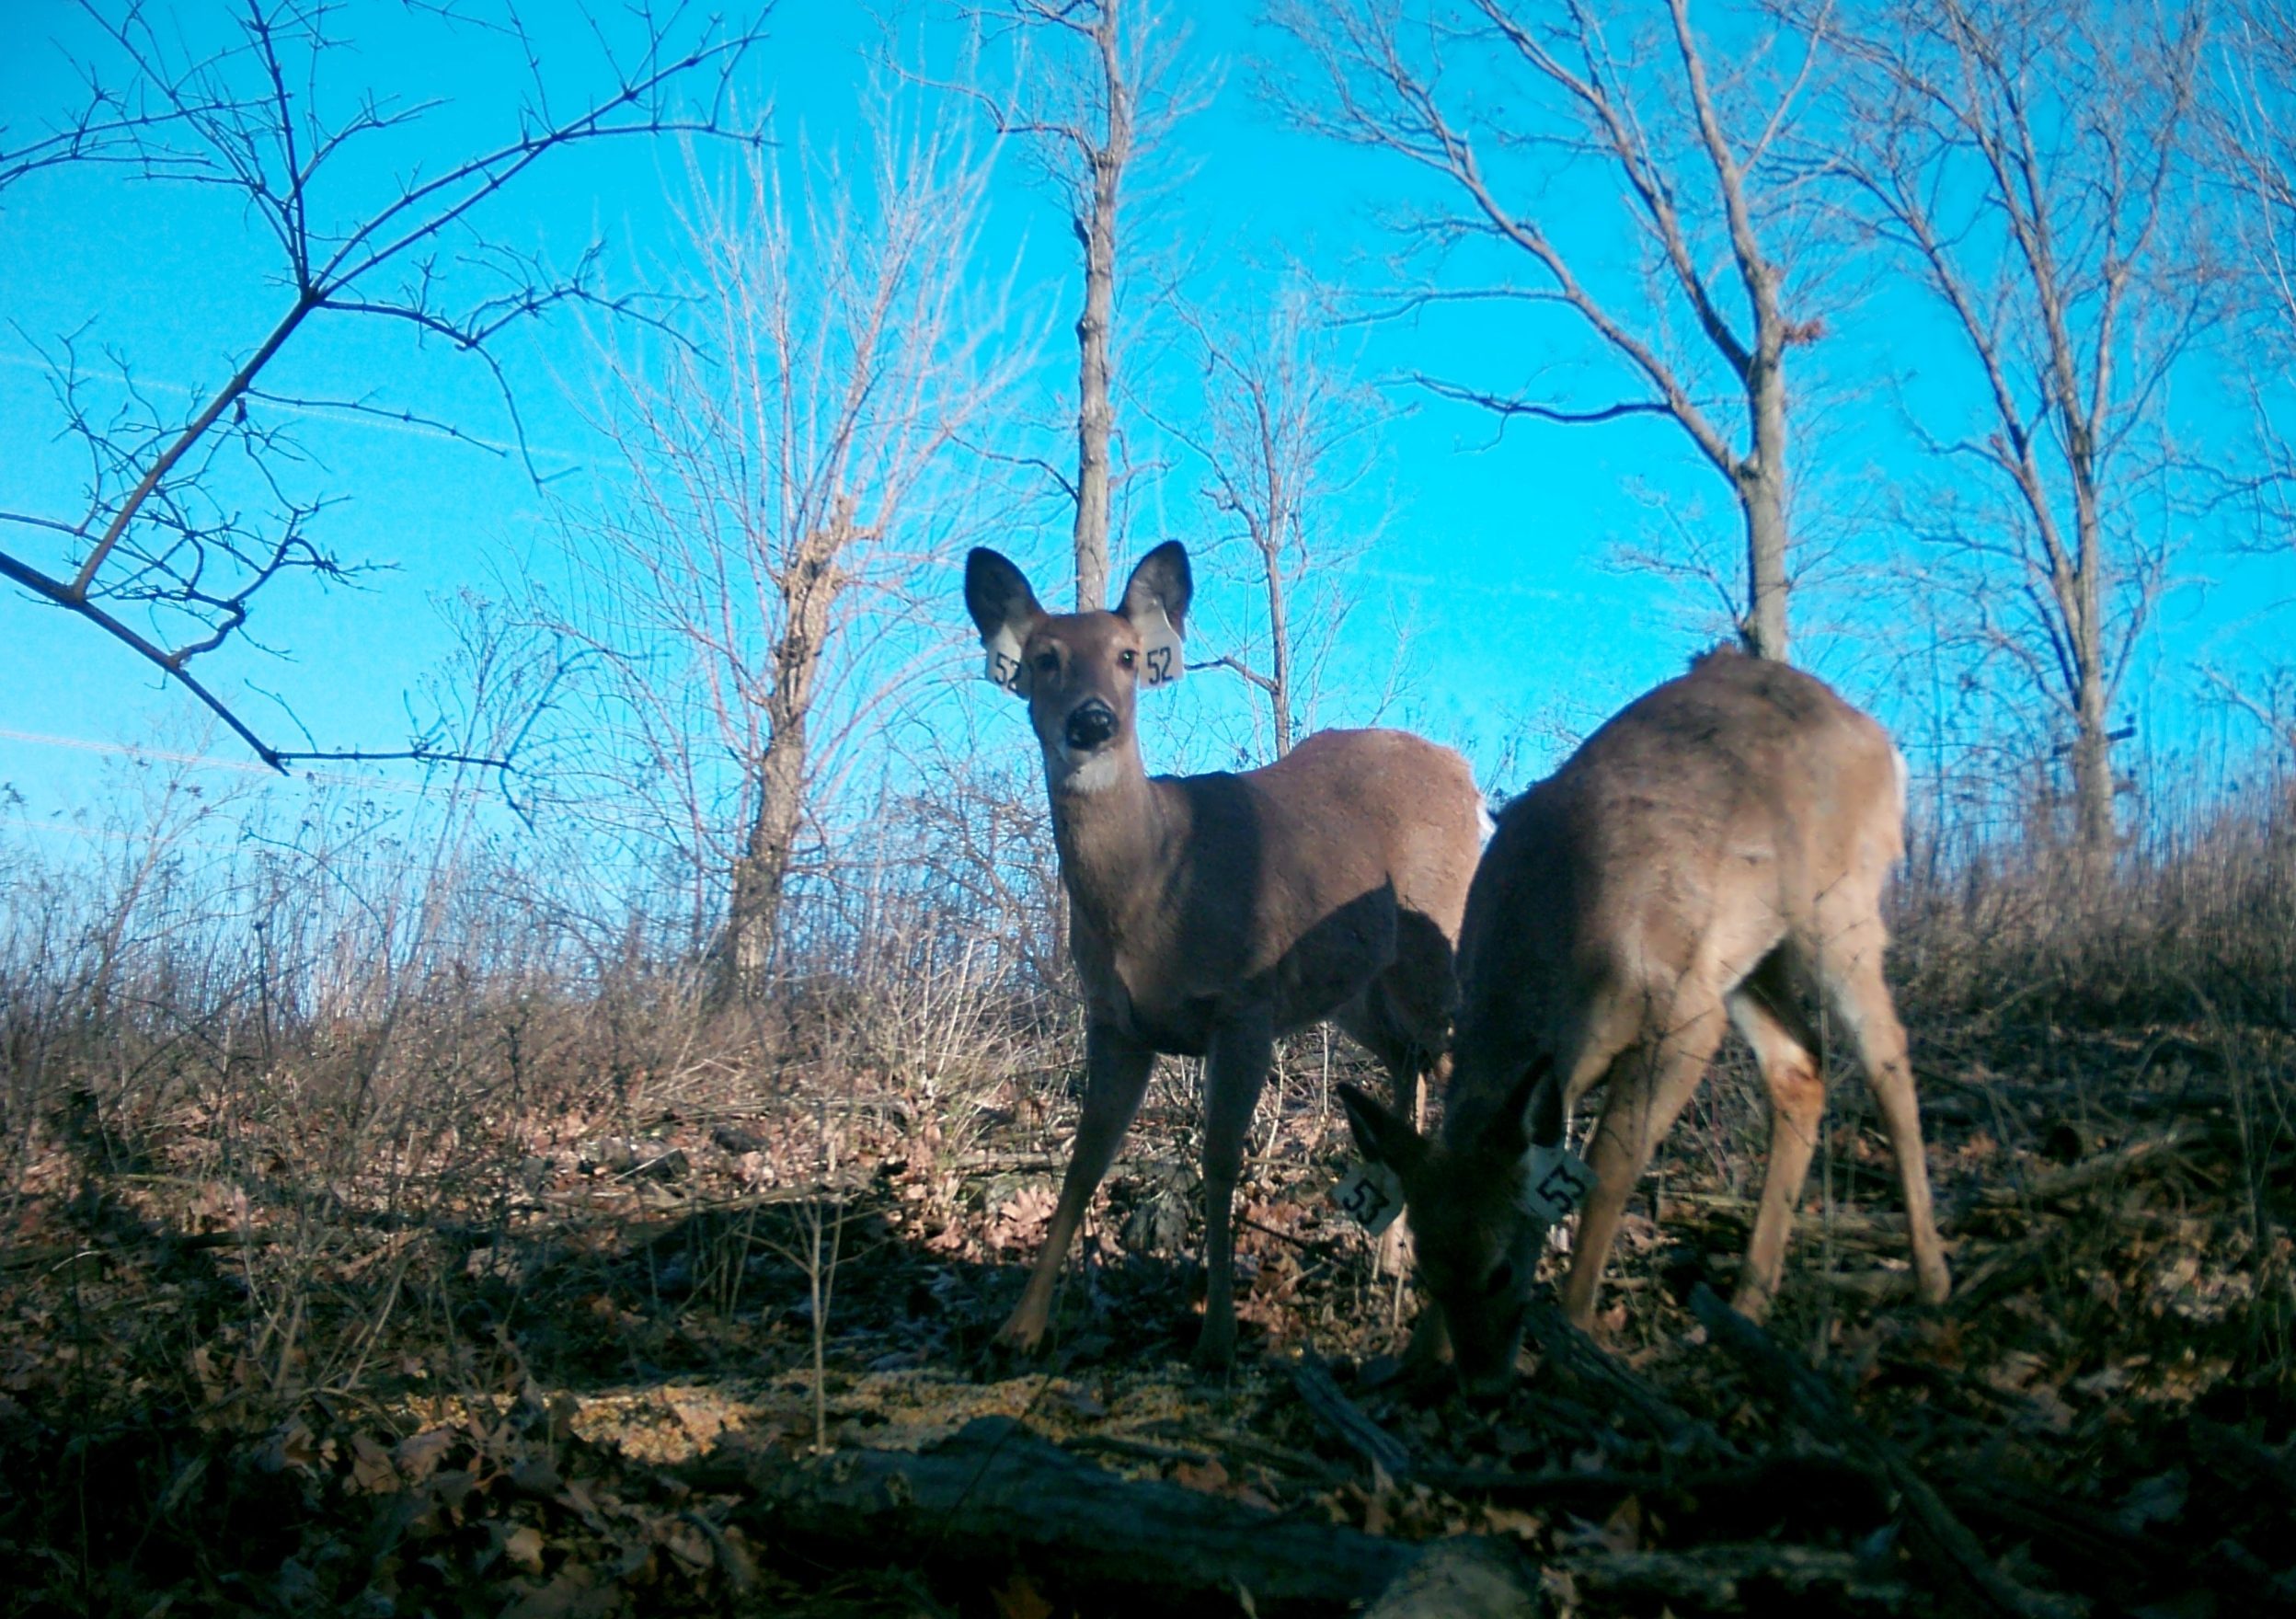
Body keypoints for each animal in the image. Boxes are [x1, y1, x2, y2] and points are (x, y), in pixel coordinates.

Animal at [959, 539, 1478, 1359]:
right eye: (1044, 658)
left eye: (1128, 656)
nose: (1092, 721)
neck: (1156, 883)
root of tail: (1466, 773)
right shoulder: (1115, 1021)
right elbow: (1085, 1158)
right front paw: (1021, 1326)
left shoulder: (1245, 1006)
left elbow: (1220, 1161)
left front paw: (1219, 1337)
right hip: (1362, 987)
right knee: (1410, 1066)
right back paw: (1392, 1259)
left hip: (1440, 948)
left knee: (1468, 1064)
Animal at [1340, 651, 1956, 1395]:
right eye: (1430, 1272)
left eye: (1502, 1270)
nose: (1483, 1383)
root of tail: (1877, 735)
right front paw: (1415, 1356)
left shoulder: (1683, 1018)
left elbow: (1609, 1165)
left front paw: (1572, 1339)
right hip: (1749, 958)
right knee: (1800, 1068)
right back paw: (1745, 1306)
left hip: (1837, 907)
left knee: (1888, 1057)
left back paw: (1932, 1283)